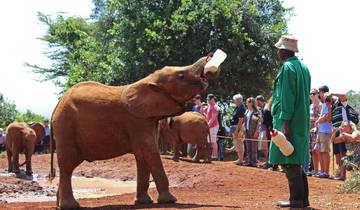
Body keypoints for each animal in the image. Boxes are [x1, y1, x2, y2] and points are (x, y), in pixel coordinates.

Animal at [49, 55, 221, 208]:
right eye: (180, 75)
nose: (211, 57)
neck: (149, 80)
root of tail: (55, 107)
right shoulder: (137, 121)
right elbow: (150, 152)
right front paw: (170, 200)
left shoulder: (146, 120)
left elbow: (143, 156)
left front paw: (144, 202)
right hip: (66, 128)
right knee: (67, 166)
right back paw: (69, 206)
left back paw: (59, 204)